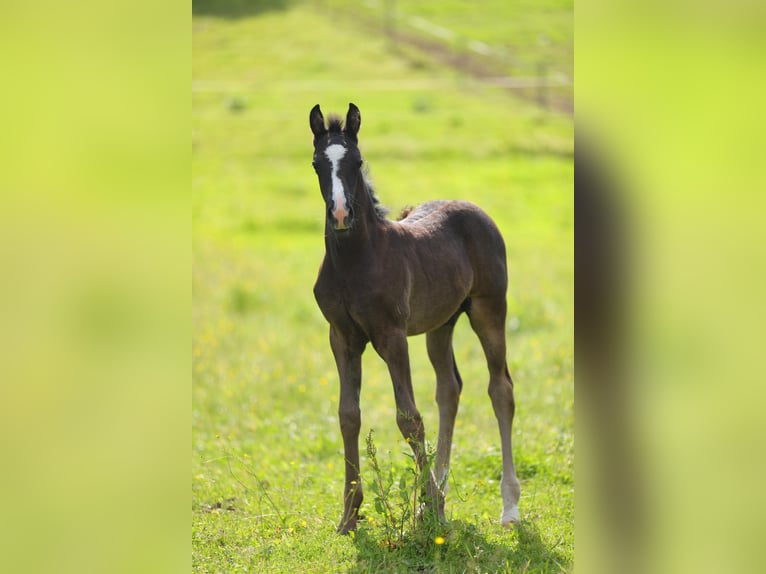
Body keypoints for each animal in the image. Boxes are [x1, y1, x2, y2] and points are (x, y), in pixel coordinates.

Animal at [310, 103, 521, 533]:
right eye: (317, 163)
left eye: (357, 162)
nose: (340, 214)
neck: (355, 261)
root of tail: (474, 209)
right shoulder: (341, 336)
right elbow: (348, 415)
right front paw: (350, 515)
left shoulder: (391, 335)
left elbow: (409, 418)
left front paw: (435, 509)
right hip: (441, 324)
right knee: (449, 389)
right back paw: (438, 492)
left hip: (489, 308)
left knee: (500, 389)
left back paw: (508, 508)